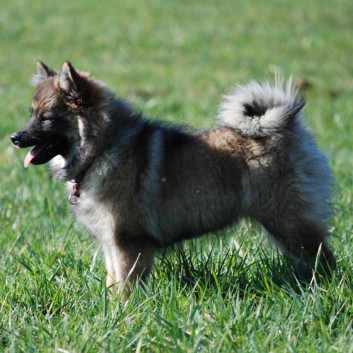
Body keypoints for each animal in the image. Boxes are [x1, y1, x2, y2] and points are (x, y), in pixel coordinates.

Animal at [11, 61, 334, 294]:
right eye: (31, 114)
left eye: (46, 118)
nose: (14, 137)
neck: (102, 149)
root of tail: (285, 127)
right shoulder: (111, 243)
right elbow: (113, 281)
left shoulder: (129, 242)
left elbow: (126, 287)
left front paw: (124, 315)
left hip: (287, 220)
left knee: (323, 257)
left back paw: (326, 289)